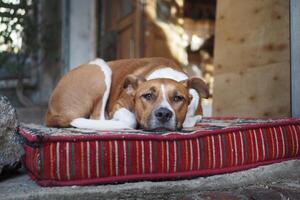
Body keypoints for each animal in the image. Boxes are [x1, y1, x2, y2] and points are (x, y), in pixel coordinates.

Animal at [44, 57, 209, 130]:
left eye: (177, 98)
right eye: (148, 96)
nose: (163, 114)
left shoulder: (198, 113)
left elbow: (190, 120)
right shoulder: (118, 104)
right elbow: (130, 118)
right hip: (101, 68)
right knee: (96, 117)